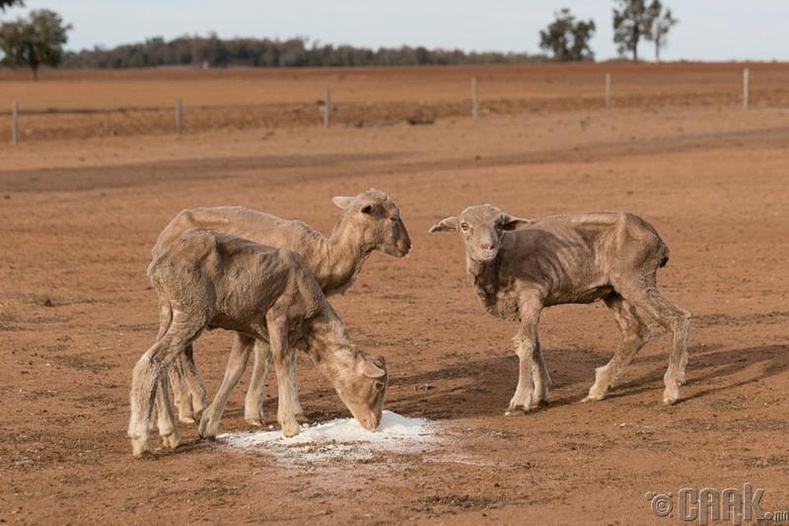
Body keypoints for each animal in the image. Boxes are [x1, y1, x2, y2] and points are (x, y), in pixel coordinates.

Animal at [129, 231, 388, 458]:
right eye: (378, 385)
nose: (374, 424)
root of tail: (158, 265)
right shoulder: (277, 316)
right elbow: (282, 362)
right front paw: (290, 426)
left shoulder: (244, 330)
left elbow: (234, 371)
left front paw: (208, 425)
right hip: (192, 312)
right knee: (151, 362)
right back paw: (140, 438)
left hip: (169, 311)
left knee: (160, 365)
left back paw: (169, 433)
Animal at [430, 204, 688, 414]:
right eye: (464, 226)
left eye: (499, 225)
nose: (488, 247)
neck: (498, 263)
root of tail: (657, 239)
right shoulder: (525, 305)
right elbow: (534, 344)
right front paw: (540, 395)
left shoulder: (531, 294)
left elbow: (525, 343)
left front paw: (520, 401)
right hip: (613, 289)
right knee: (635, 332)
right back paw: (599, 388)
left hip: (635, 278)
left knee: (678, 318)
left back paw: (671, 389)